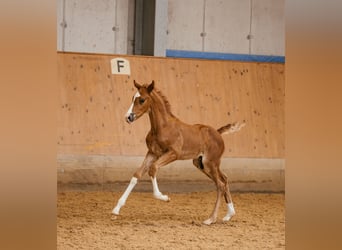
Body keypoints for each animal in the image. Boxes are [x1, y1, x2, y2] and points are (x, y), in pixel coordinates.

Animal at [113, 80, 246, 225]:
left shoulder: (173, 153)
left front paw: (164, 197)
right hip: (201, 164)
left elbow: (153, 168)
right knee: (224, 179)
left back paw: (211, 219)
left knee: (220, 185)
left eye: (142, 100)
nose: (128, 117)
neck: (162, 127)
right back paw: (229, 214)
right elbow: (136, 175)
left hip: (209, 163)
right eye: (132, 98)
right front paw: (116, 209)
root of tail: (217, 132)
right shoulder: (152, 153)